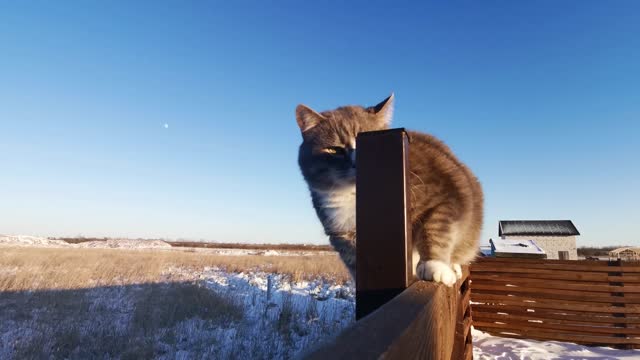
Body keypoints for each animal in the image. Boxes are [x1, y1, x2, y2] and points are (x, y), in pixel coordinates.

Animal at [298, 94, 482, 286]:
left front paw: (434, 267)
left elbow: (435, 227)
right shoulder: (342, 236)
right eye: (335, 150)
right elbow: (355, 264)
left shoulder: (444, 194)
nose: (358, 163)